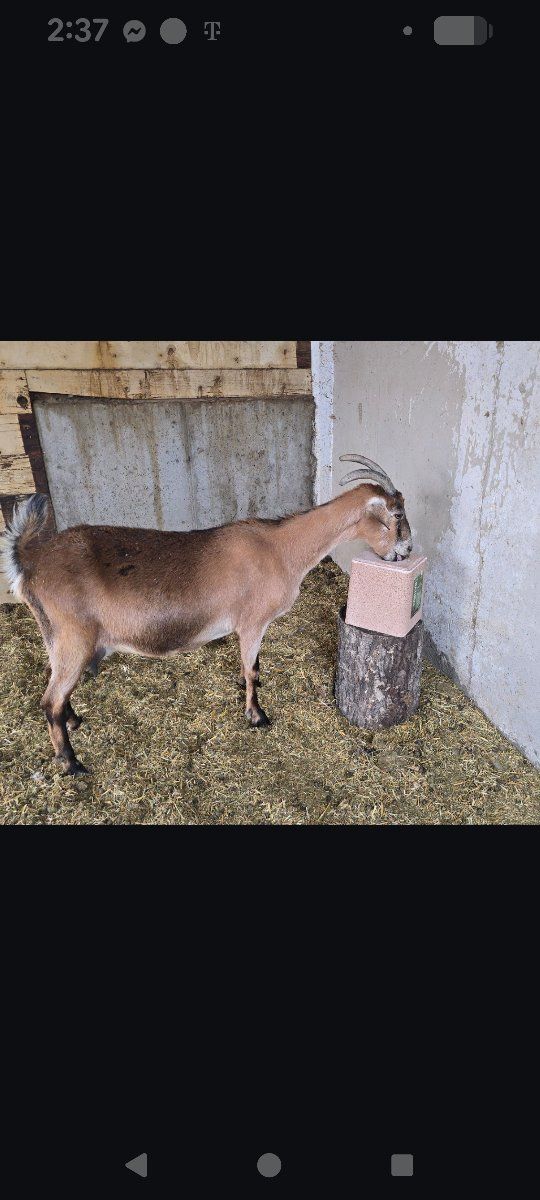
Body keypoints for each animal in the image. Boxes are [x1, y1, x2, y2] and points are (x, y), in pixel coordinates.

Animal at [1, 455, 412, 775]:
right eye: (396, 513)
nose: (405, 552)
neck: (281, 548)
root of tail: (31, 565)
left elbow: (252, 666)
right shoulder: (252, 621)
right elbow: (252, 668)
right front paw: (257, 716)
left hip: (56, 636)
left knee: (55, 688)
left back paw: (74, 721)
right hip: (74, 636)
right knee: (49, 701)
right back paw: (72, 764)